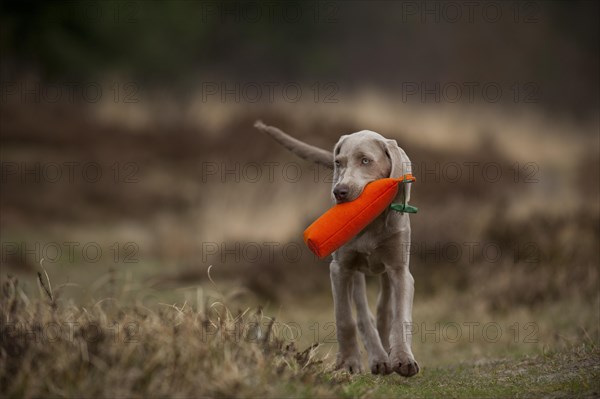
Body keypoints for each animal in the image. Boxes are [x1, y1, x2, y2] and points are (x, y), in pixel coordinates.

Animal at [255, 120, 420, 376]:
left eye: (366, 160)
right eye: (338, 163)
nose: (339, 192)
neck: (370, 222)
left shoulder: (400, 270)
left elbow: (400, 317)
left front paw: (403, 358)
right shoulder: (340, 268)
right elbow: (345, 318)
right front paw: (348, 362)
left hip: (383, 271)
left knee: (383, 309)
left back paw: (385, 352)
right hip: (356, 271)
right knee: (362, 312)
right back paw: (377, 357)